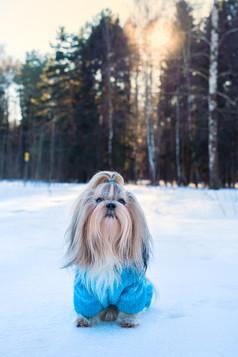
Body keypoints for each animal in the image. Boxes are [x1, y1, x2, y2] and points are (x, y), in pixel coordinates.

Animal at [64, 171, 152, 326]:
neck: (108, 244)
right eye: (99, 199)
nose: (111, 204)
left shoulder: (132, 289)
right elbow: (87, 306)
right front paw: (84, 319)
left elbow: (130, 305)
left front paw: (128, 320)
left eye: (122, 201)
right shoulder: (85, 290)